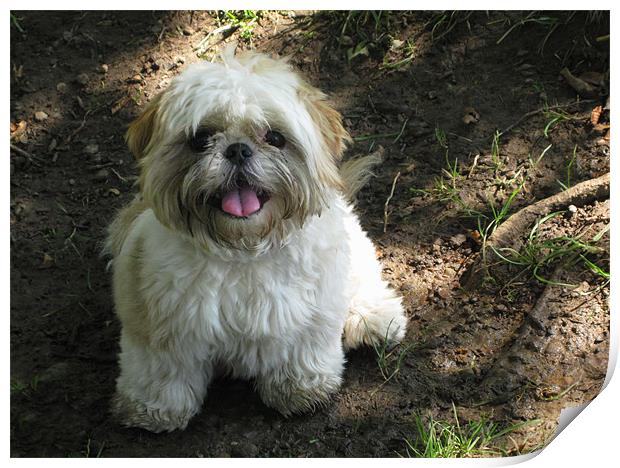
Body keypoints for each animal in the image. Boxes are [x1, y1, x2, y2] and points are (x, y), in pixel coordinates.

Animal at [106, 46, 406, 432]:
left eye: (275, 137)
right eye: (199, 139)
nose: (237, 149)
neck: (244, 250)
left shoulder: (311, 314)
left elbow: (302, 349)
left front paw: (301, 389)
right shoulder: (158, 324)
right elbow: (160, 371)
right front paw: (153, 409)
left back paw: (374, 316)